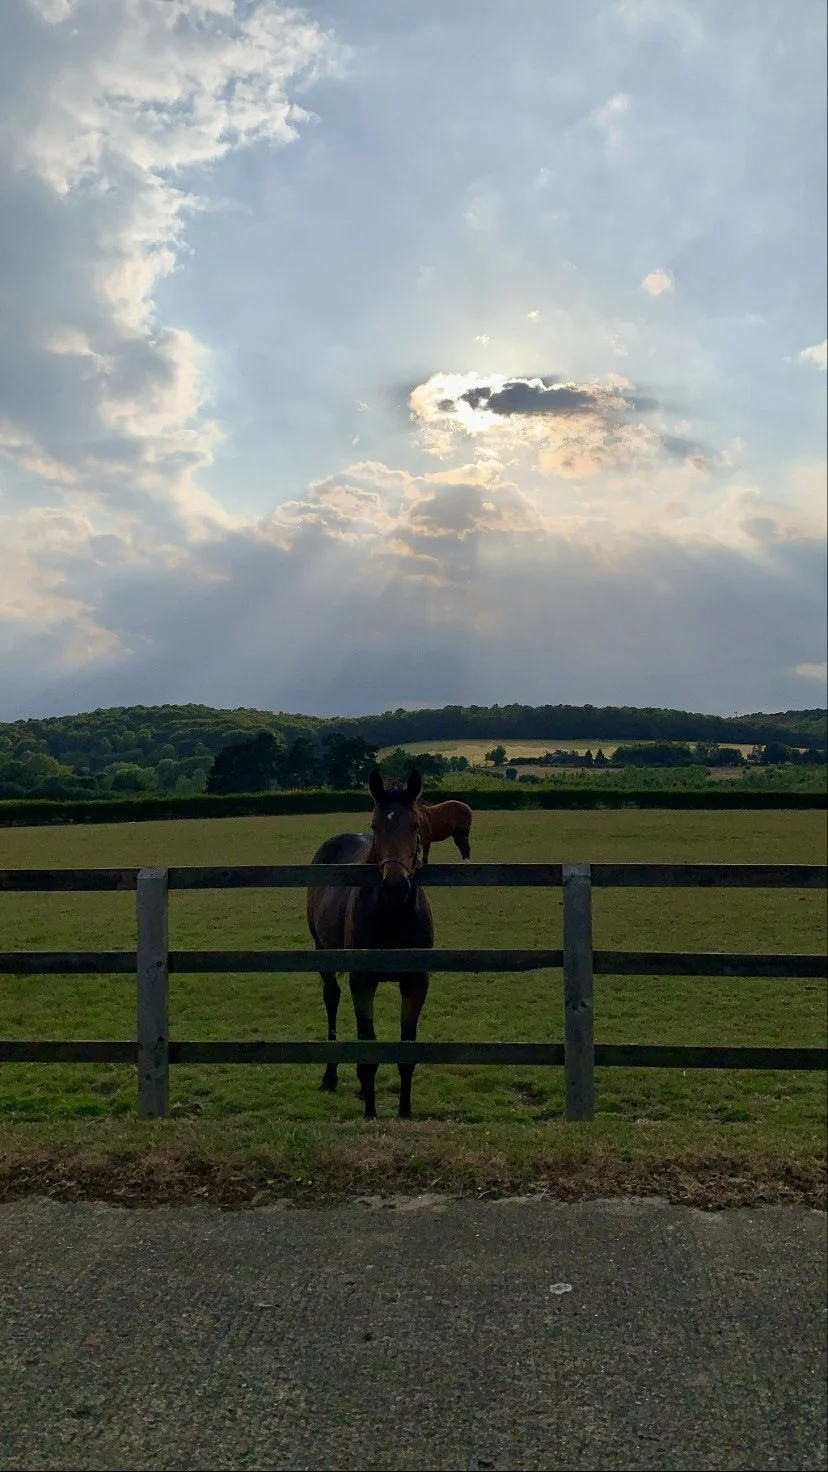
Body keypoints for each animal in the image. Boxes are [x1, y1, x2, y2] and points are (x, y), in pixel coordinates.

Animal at [306, 767, 433, 1121]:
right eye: (376, 825)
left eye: (415, 825)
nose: (395, 887)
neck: (393, 915)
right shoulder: (362, 979)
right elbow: (369, 1049)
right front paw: (371, 1115)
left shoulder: (416, 982)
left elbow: (405, 1051)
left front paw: (404, 1113)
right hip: (324, 954)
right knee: (332, 1001)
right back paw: (330, 1076)